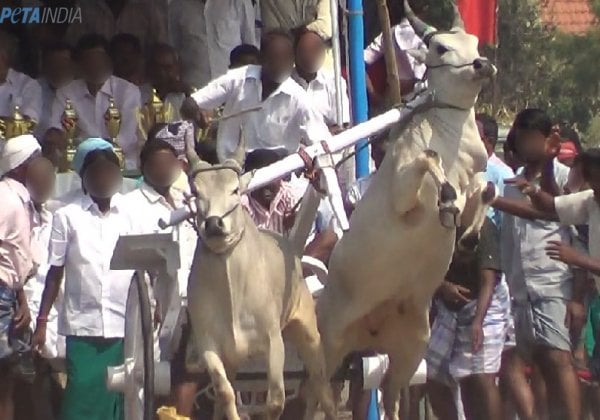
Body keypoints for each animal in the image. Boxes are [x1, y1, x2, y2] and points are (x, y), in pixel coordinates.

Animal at [318, 4, 496, 420]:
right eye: (441, 48)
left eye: (474, 41)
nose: (481, 64)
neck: (449, 133)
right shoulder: (402, 195)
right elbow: (428, 160)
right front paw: (445, 198)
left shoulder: (475, 177)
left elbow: (486, 189)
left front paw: (468, 234)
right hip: (329, 345)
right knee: (311, 395)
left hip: (410, 350)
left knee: (393, 397)